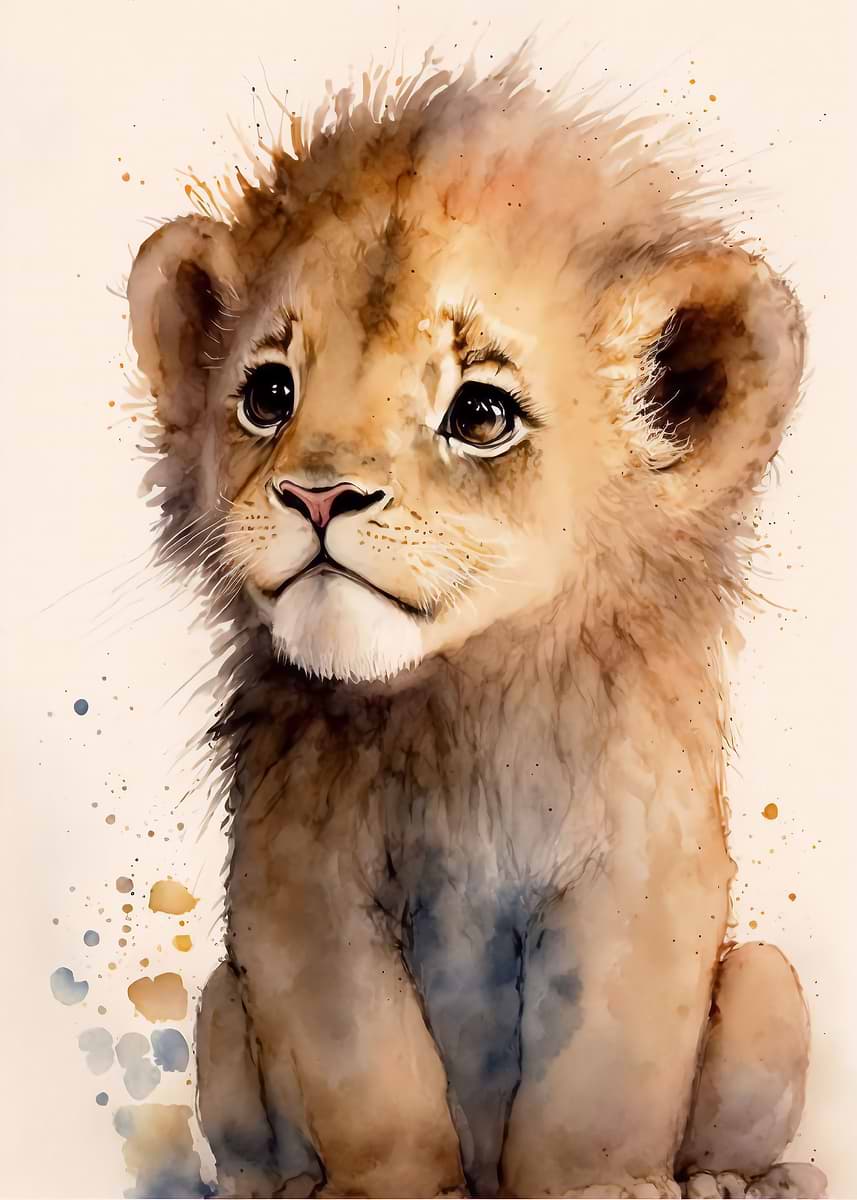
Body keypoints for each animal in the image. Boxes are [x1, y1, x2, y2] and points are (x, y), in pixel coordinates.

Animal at [125, 51, 825, 1200]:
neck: (458, 699)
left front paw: (601, 1188)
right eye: (268, 393)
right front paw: (387, 1188)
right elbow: (368, 1074)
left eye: (480, 414)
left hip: (769, 981)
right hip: (221, 1009)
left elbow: (602, 1075)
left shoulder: (639, 873)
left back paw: (735, 1181)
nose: (316, 497)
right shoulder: (298, 889)